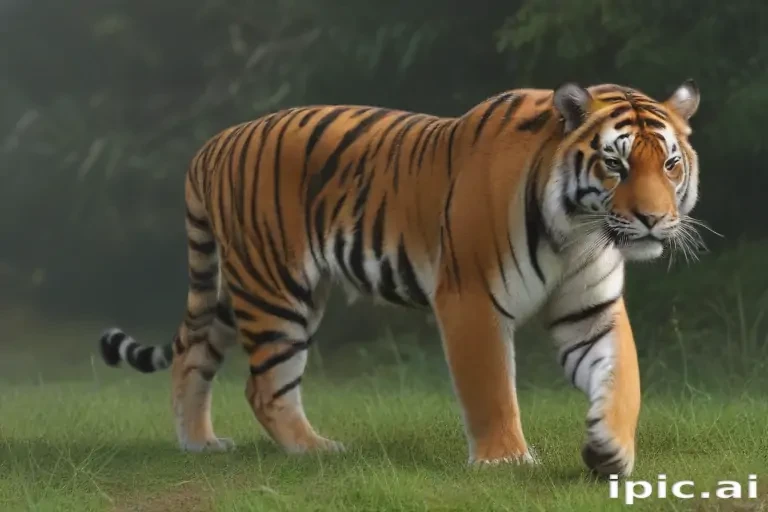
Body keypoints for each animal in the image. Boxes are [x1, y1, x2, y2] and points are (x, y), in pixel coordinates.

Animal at [99, 79, 702, 477]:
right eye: (615, 164)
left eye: (670, 164)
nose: (653, 219)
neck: (576, 231)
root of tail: (211, 144)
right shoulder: (470, 299)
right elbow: (491, 388)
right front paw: (505, 460)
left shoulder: (591, 311)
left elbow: (622, 381)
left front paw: (611, 450)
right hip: (277, 291)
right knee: (264, 386)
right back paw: (314, 450)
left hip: (238, 289)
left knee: (192, 354)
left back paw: (198, 444)